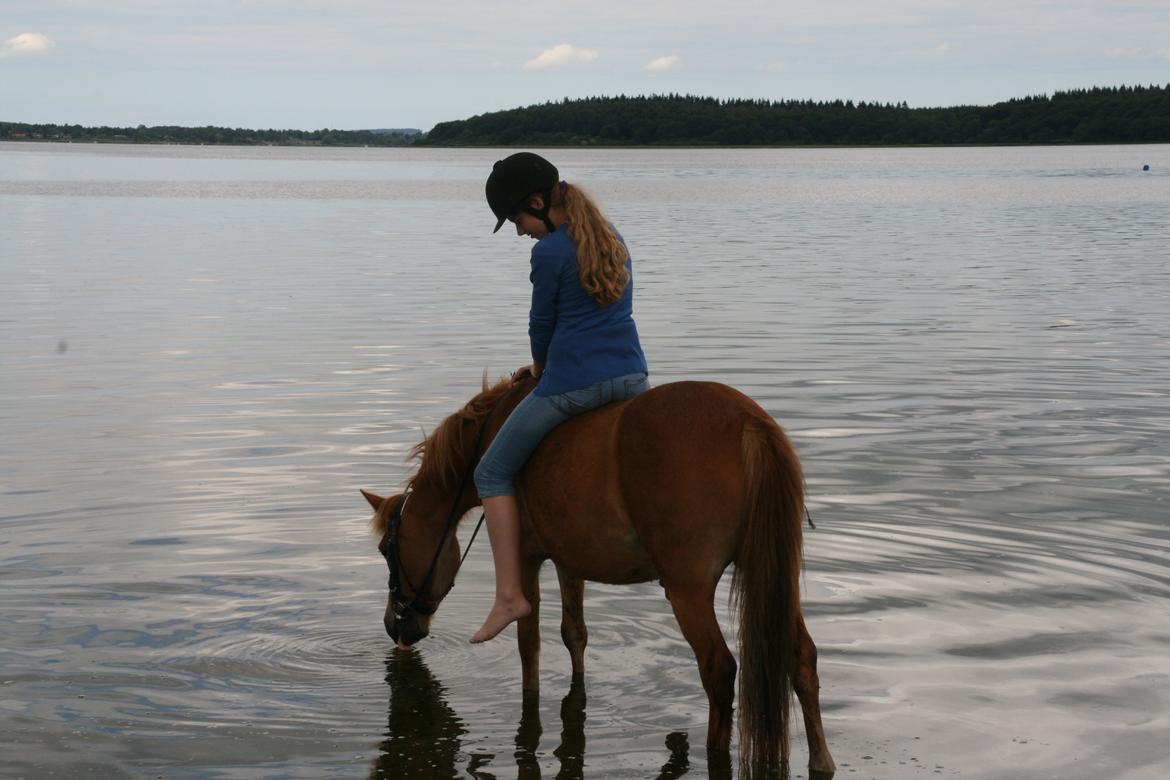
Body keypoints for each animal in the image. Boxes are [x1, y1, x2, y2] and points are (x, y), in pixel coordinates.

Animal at [365, 376, 833, 776]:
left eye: (387, 549)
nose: (393, 623)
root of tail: (748, 421)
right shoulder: (570, 561)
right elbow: (574, 635)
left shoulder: (527, 559)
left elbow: (529, 647)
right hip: (771, 575)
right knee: (801, 658)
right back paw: (820, 759)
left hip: (689, 591)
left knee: (719, 670)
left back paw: (713, 754)